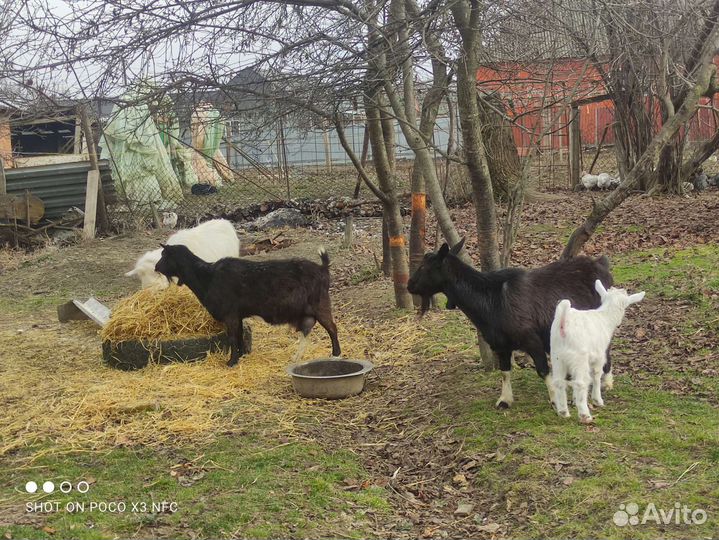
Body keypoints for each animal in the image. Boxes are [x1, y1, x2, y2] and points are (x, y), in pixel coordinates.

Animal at [154, 244, 341, 367]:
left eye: (164, 255)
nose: (156, 267)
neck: (208, 276)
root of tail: (323, 268)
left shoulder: (229, 314)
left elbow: (231, 337)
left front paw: (231, 361)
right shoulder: (237, 315)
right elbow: (239, 335)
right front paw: (241, 355)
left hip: (320, 304)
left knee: (332, 328)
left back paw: (336, 355)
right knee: (307, 330)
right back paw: (296, 357)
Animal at [407, 238, 613, 408]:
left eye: (424, 267)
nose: (409, 285)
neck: (491, 299)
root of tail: (601, 263)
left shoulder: (531, 339)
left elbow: (543, 370)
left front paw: (555, 400)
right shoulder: (500, 344)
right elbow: (505, 370)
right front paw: (505, 400)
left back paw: (607, 382)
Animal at [551, 280, 644, 423]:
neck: (605, 317)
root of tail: (563, 323)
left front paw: (575, 399)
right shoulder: (599, 355)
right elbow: (596, 374)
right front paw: (597, 400)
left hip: (557, 356)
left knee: (558, 381)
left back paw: (563, 412)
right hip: (579, 357)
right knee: (580, 382)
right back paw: (585, 415)